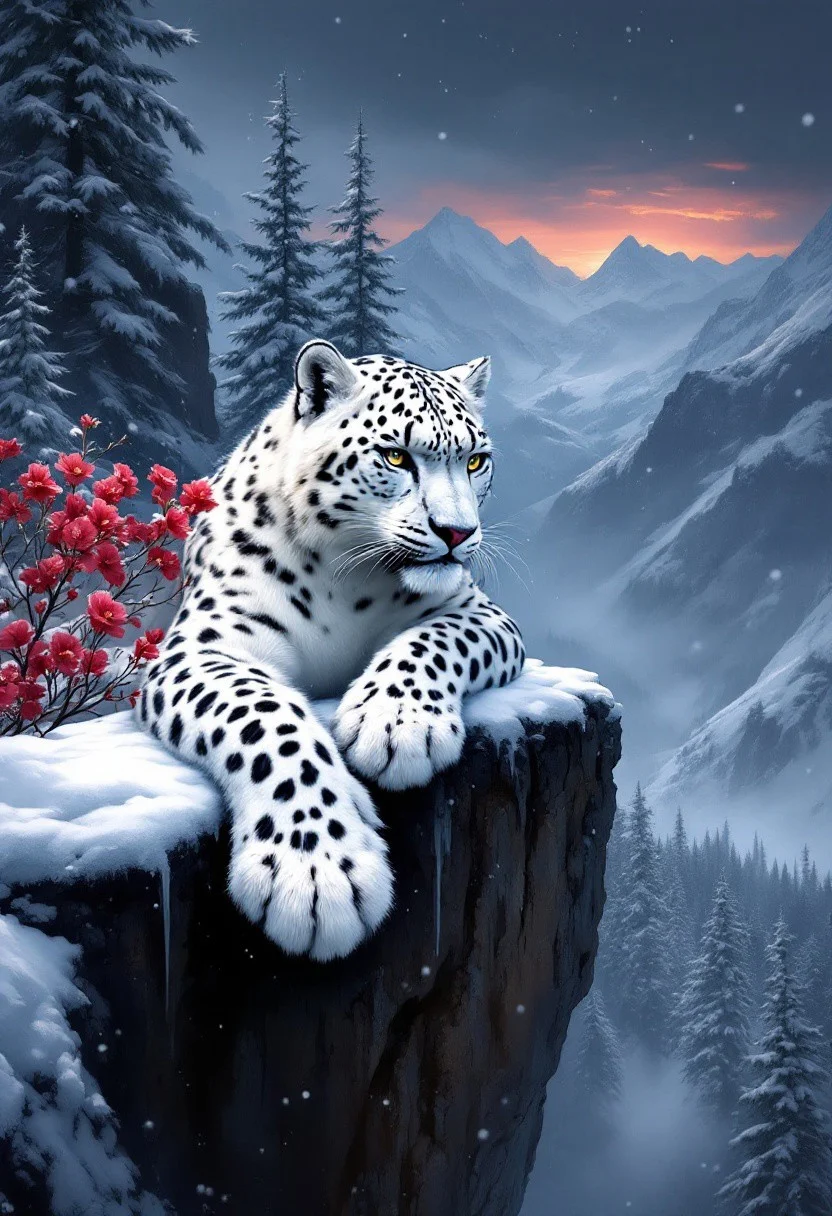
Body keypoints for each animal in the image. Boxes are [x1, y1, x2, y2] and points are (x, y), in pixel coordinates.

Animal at [137, 340, 525, 960]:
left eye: (475, 461)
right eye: (396, 456)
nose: (458, 533)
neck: (344, 575)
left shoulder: (478, 611)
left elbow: (433, 641)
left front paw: (397, 722)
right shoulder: (203, 647)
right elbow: (265, 717)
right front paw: (318, 871)